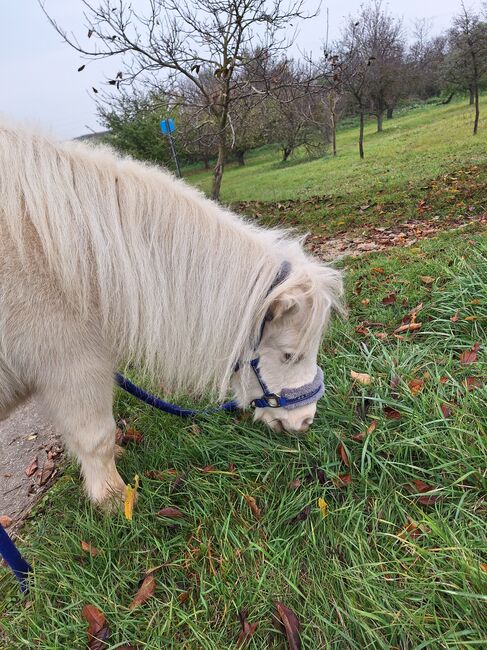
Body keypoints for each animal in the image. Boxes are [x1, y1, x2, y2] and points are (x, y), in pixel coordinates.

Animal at [0, 123, 344, 506]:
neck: (75, 263)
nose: (306, 422)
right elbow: (96, 436)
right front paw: (115, 500)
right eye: (288, 355)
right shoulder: (71, 366)